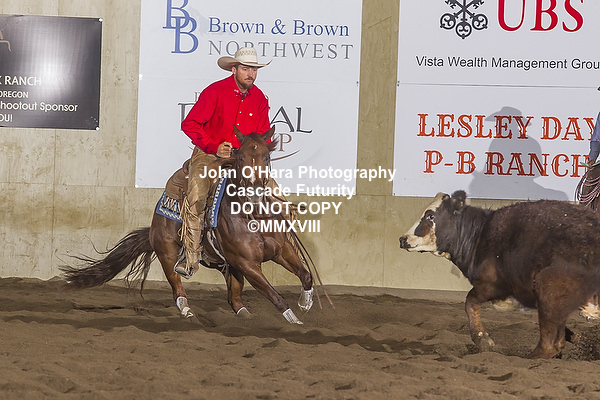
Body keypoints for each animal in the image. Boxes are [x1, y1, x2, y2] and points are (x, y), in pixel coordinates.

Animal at [60, 127, 325, 324]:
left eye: (267, 157)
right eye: (240, 157)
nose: (254, 191)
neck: (252, 216)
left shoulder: (282, 251)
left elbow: (306, 275)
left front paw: (305, 304)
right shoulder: (248, 264)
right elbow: (275, 295)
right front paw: (295, 321)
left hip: (228, 266)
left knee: (234, 298)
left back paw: (245, 316)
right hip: (168, 253)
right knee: (177, 287)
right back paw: (187, 311)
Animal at [398, 190, 600, 359]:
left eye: (431, 215)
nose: (403, 239)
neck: (480, 236)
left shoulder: (492, 285)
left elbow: (470, 302)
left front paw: (482, 340)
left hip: (549, 289)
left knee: (550, 344)